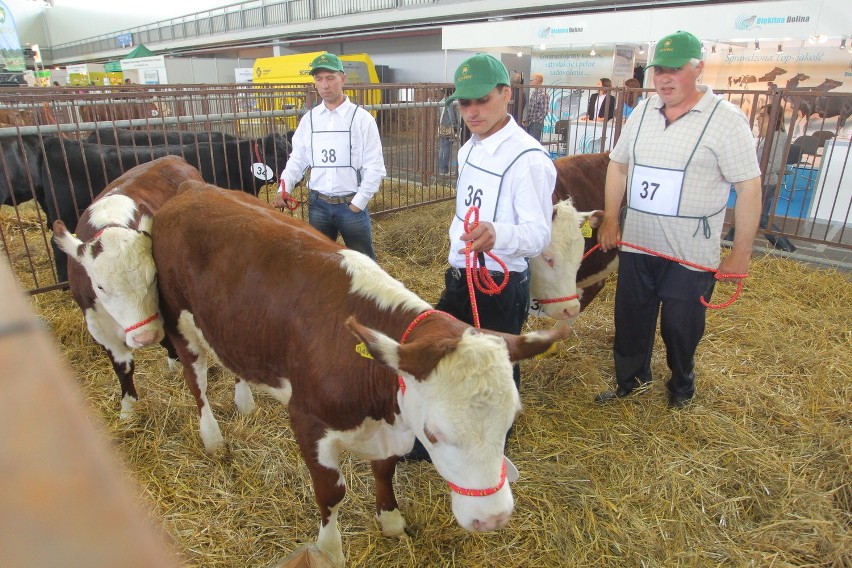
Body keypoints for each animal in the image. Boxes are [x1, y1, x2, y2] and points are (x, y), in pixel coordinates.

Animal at [52, 158, 205, 420]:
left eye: (153, 277)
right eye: (100, 287)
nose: (145, 337)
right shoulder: (97, 324)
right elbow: (123, 366)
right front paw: (128, 408)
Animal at [153, 183, 564, 568]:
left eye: (509, 423)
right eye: (433, 433)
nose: (493, 518)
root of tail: (192, 189)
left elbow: (385, 470)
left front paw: (392, 522)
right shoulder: (306, 419)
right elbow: (331, 493)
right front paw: (330, 550)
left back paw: (244, 401)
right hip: (177, 317)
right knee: (196, 378)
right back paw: (212, 437)